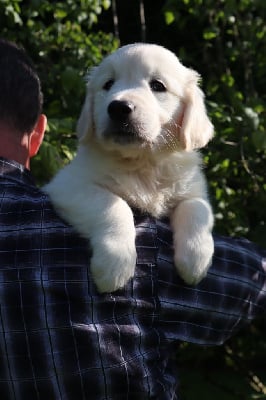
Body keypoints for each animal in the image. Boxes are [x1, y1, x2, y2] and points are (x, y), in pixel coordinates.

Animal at [43, 43, 214, 292]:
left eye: (157, 85)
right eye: (108, 84)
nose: (119, 107)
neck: (142, 162)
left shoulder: (192, 186)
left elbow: (197, 207)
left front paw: (195, 259)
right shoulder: (68, 184)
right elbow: (113, 204)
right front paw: (115, 263)